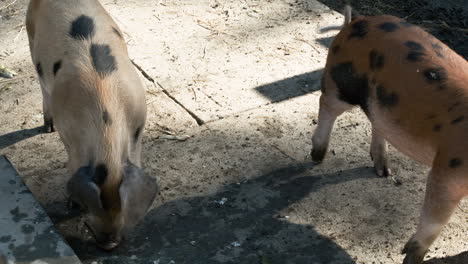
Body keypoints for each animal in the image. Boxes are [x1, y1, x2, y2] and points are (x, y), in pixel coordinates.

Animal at [25, 0, 157, 250]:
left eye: (119, 205)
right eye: (96, 205)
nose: (109, 244)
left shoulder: (137, 131)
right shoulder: (68, 134)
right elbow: (73, 163)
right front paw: (71, 205)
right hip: (30, 36)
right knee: (41, 84)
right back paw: (47, 127)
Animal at [310, 5, 468, 262]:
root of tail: (355, 22)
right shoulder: (448, 170)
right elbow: (433, 223)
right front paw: (410, 257)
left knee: (377, 122)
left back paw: (384, 173)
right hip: (340, 82)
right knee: (326, 105)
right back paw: (317, 157)